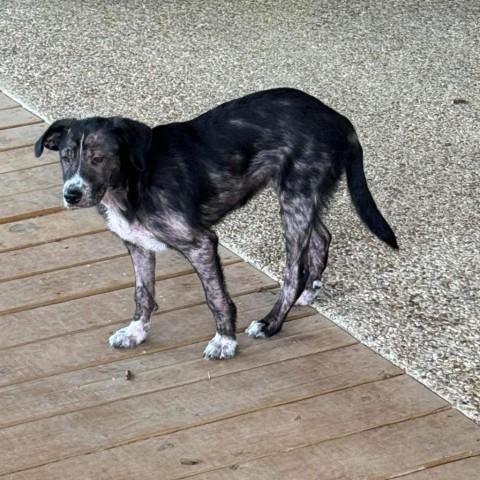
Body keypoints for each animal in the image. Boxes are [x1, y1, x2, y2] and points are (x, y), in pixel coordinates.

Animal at [34, 89, 398, 360]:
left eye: (99, 158)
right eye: (65, 156)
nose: (72, 194)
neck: (133, 182)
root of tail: (338, 118)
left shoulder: (201, 243)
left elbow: (216, 296)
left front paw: (225, 340)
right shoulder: (137, 245)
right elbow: (142, 293)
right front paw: (136, 331)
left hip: (296, 200)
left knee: (293, 271)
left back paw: (272, 322)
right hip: (303, 198)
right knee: (322, 237)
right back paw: (309, 291)